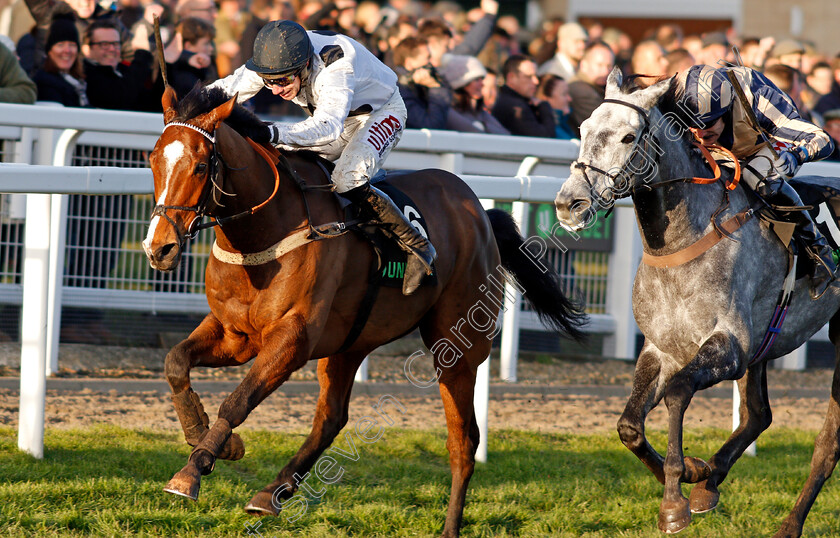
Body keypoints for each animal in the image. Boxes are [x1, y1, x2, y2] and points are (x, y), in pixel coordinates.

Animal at [144, 86, 588, 532]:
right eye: (153, 159)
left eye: (201, 165)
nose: (159, 248)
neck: (263, 235)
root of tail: (478, 210)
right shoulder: (234, 334)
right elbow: (175, 362)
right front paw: (210, 437)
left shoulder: (291, 340)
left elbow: (237, 401)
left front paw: (192, 470)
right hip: (349, 343)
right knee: (332, 417)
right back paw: (271, 494)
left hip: (457, 347)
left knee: (462, 439)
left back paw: (449, 526)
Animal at [556, 68, 840, 536]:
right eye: (582, 130)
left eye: (628, 137)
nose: (568, 204)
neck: (683, 241)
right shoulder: (662, 347)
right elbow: (629, 426)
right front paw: (692, 474)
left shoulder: (728, 346)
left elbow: (678, 391)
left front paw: (675, 498)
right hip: (764, 345)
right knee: (758, 415)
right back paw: (711, 482)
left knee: (827, 442)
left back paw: (789, 523)